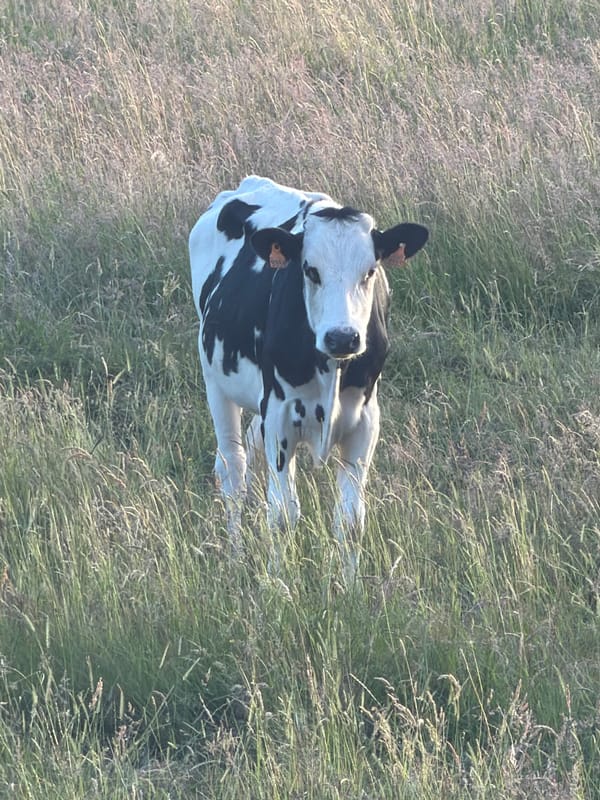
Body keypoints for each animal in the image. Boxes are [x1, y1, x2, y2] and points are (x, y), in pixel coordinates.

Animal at [189, 176, 428, 578]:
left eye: (370, 271)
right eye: (310, 270)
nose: (342, 337)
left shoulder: (365, 420)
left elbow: (350, 520)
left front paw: (351, 586)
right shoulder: (280, 417)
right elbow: (283, 515)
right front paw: (278, 583)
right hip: (214, 381)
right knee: (232, 467)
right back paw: (235, 555)